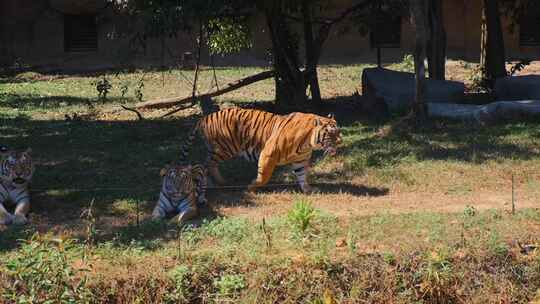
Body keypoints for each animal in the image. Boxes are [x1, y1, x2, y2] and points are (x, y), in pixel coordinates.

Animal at [181, 108, 342, 191]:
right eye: (331, 133)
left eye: (338, 131)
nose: (341, 141)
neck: (308, 143)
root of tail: (204, 117)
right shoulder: (268, 153)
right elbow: (264, 176)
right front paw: (252, 186)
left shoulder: (300, 160)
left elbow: (302, 175)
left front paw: (308, 190)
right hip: (225, 149)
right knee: (206, 164)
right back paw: (212, 183)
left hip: (217, 149)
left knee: (208, 163)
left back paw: (221, 182)